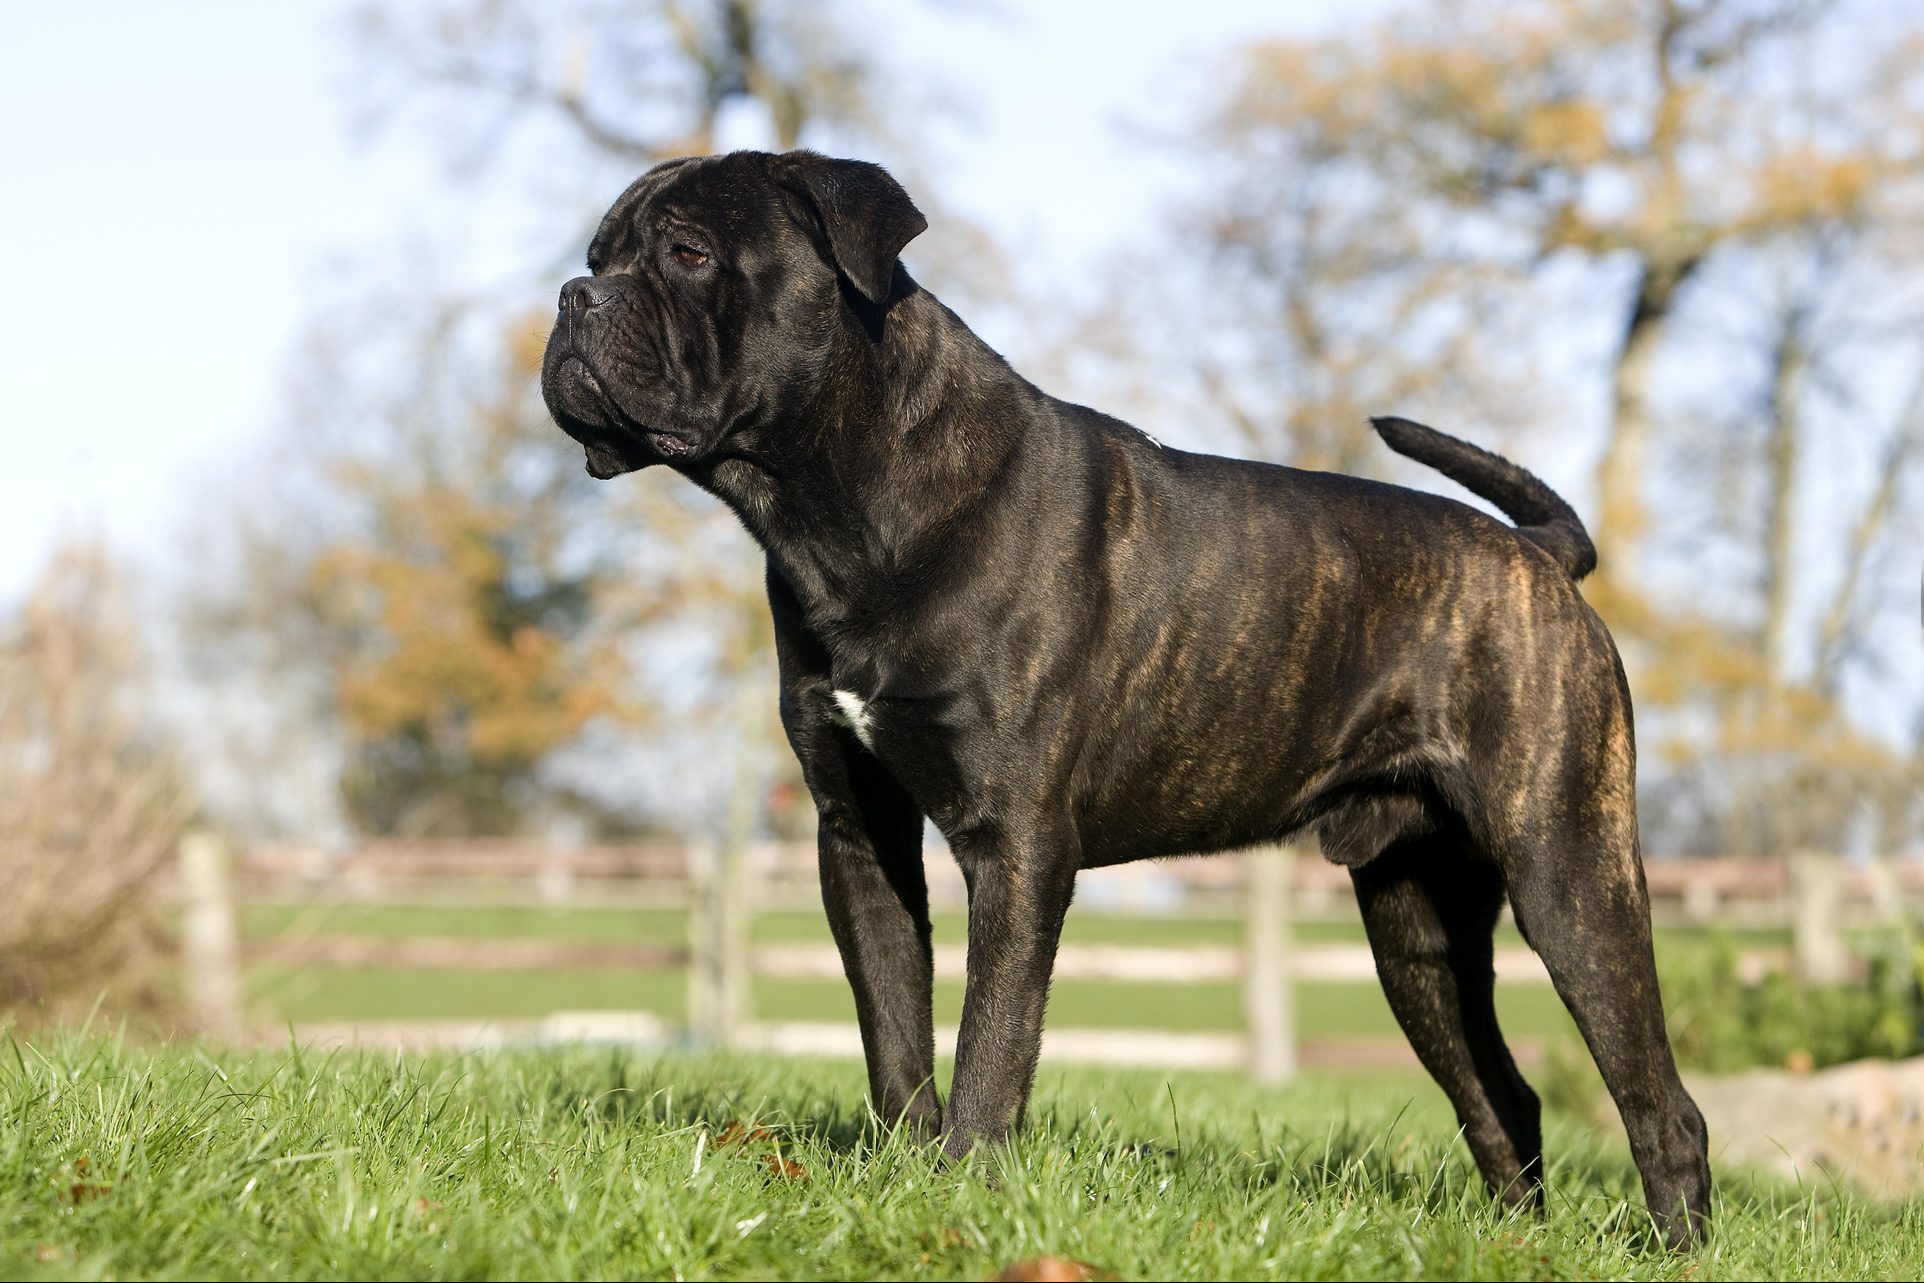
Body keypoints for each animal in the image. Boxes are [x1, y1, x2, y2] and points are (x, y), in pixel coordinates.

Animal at [542, 148, 1716, 1246]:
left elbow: (992, 1042)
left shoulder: (1016, 844)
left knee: (1663, 1103)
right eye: (600, 253)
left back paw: (1674, 1246)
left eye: (688, 253)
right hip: (1416, 925)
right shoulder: (858, 832)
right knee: (1500, 1095)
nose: (572, 296)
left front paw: (965, 1191)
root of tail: (1540, 556)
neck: (842, 504)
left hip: (1568, 875)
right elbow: (895, 1029)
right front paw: (906, 1176)